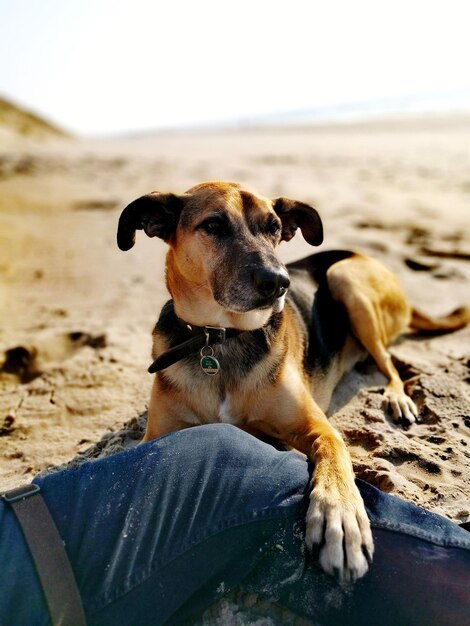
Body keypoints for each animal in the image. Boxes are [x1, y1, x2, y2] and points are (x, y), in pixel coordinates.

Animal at [115, 180, 468, 580]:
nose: (278, 282)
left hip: (348, 282)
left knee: (390, 364)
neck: (220, 339)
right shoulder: (156, 436)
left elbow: (335, 457)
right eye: (214, 225)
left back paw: (396, 397)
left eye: (273, 227)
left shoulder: (319, 428)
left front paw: (340, 519)